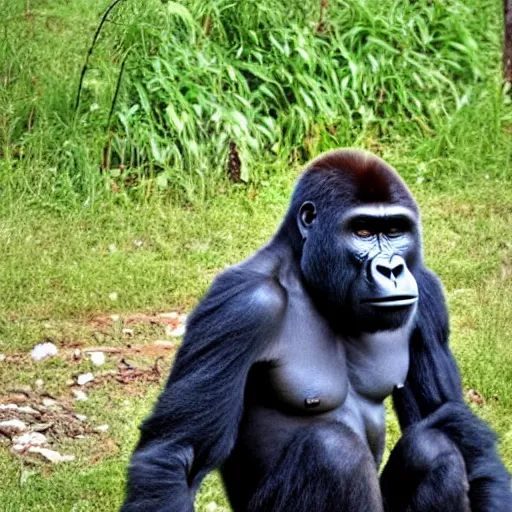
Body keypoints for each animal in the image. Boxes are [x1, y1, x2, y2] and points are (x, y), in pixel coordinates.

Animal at [121, 150, 512, 510]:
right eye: (363, 231)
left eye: (394, 231)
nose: (392, 269)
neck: (306, 274)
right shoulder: (242, 304)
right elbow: (177, 452)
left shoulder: (427, 294)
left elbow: (455, 426)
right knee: (333, 450)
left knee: (435, 446)